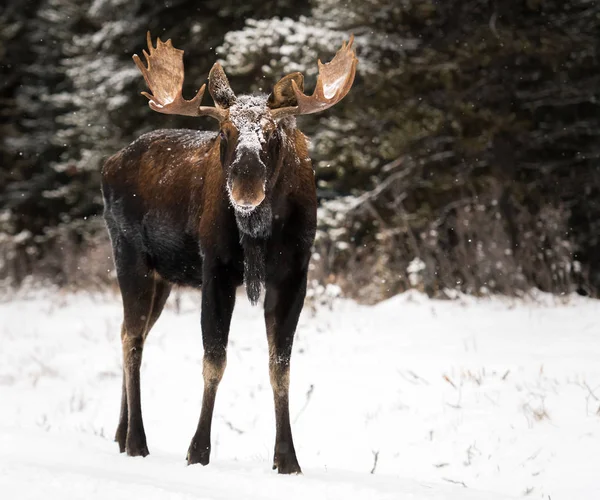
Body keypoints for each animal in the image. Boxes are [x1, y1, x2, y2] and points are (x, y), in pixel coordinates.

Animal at [101, 33, 358, 474]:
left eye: (271, 133)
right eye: (224, 132)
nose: (245, 187)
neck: (259, 235)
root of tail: (107, 165)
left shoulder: (294, 275)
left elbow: (280, 366)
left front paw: (287, 459)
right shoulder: (216, 269)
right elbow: (214, 359)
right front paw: (198, 450)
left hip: (163, 278)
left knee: (128, 333)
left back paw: (120, 434)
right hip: (129, 255)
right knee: (132, 338)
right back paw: (136, 440)